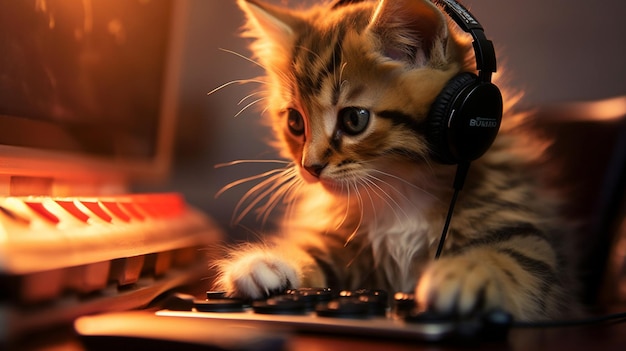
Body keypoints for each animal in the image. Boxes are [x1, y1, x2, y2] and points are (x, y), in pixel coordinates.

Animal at [212, 0, 576, 322]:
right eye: (295, 123)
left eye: (354, 120)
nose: (310, 168)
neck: (401, 188)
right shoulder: (346, 248)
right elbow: (314, 255)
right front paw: (266, 263)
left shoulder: (520, 228)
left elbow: (513, 259)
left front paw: (467, 274)